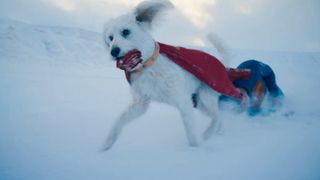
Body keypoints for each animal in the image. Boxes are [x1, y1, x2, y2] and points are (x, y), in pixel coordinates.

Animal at [101, 1, 226, 150]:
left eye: (125, 32)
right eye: (110, 38)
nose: (113, 51)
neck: (147, 67)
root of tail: (223, 65)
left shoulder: (183, 101)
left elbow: (191, 133)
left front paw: (195, 149)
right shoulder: (140, 103)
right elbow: (119, 120)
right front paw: (108, 142)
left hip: (206, 97)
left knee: (217, 116)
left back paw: (209, 133)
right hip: (200, 103)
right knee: (218, 117)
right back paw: (216, 132)